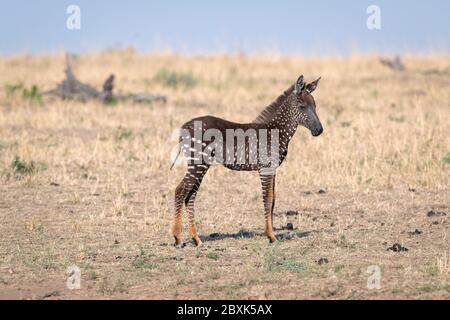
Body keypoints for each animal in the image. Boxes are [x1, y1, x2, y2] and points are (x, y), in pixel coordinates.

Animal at [171, 76, 322, 246]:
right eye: (302, 107)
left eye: (315, 106)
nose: (319, 130)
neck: (276, 130)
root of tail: (184, 127)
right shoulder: (265, 169)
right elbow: (268, 199)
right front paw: (271, 236)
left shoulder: (273, 169)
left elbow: (273, 200)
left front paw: (270, 234)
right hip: (198, 163)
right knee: (180, 191)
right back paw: (178, 238)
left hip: (200, 164)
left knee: (190, 196)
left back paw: (196, 239)